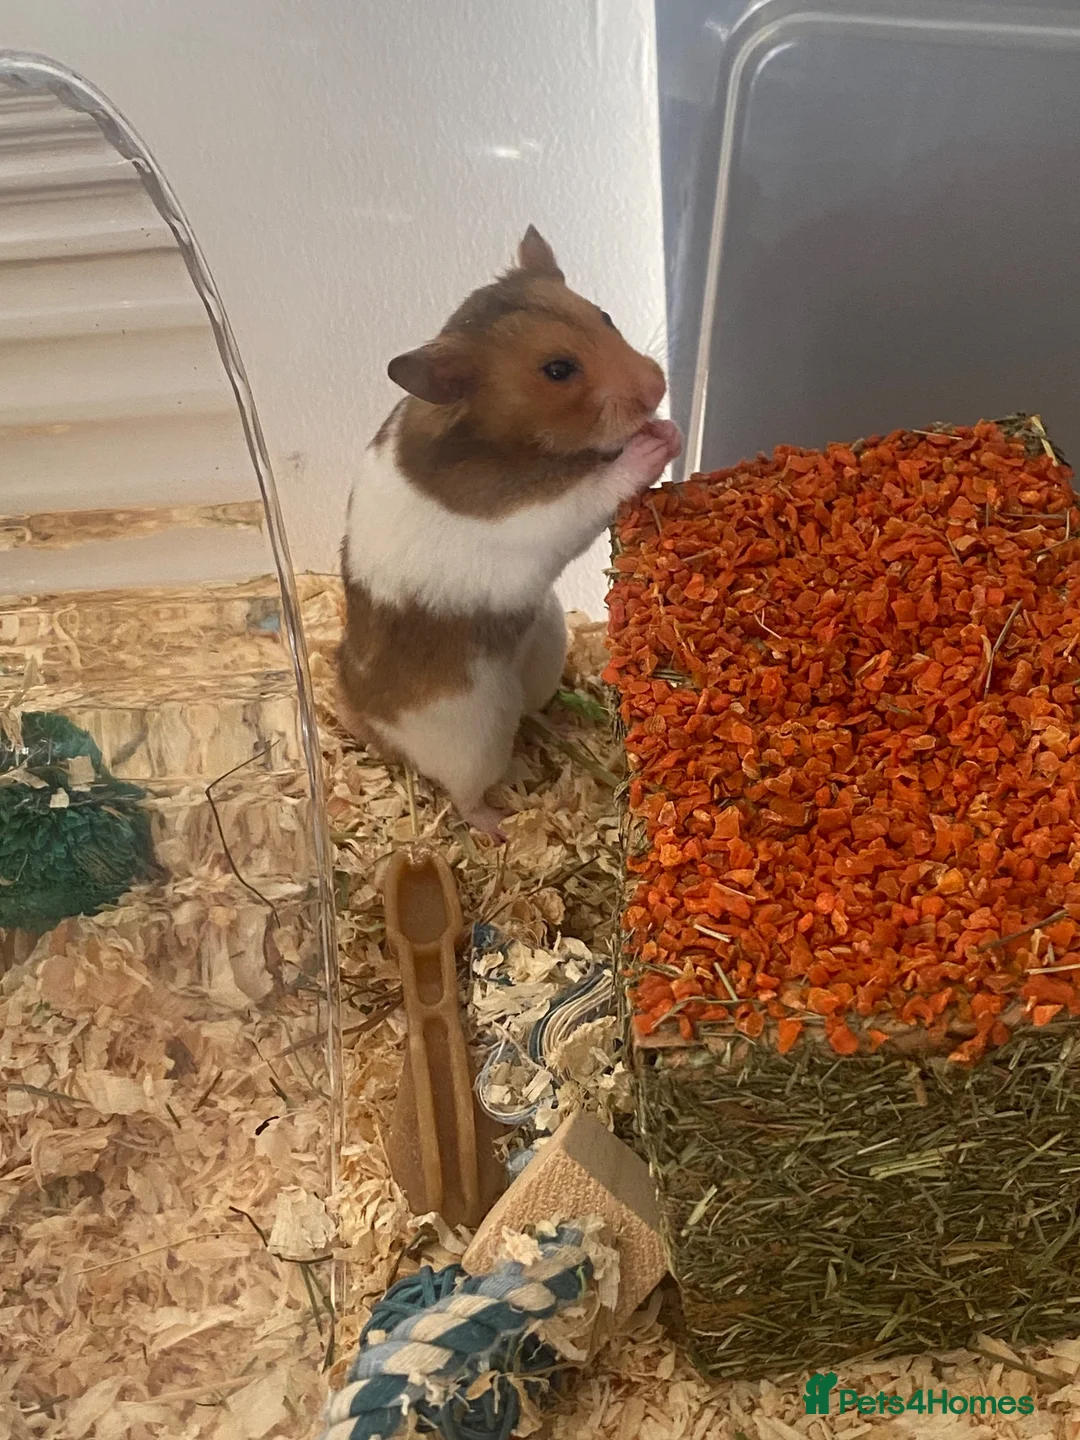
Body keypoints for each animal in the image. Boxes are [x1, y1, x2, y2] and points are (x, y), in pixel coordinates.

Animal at [337, 226, 682, 837]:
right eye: (557, 370)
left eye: (605, 315)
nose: (658, 386)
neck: (517, 446)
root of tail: (373, 718)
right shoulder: (538, 517)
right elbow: (596, 487)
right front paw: (658, 439)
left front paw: (670, 427)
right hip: (471, 735)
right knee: (464, 790)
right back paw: (497, 825)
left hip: (542, 649)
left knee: (533, 711)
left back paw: (567, 723)